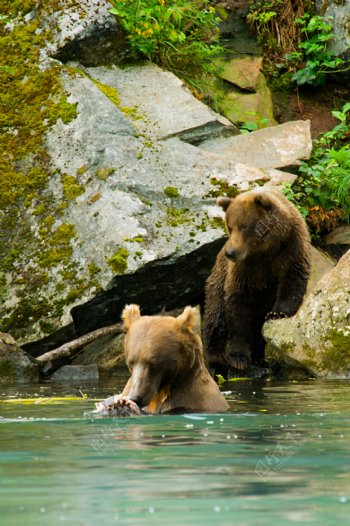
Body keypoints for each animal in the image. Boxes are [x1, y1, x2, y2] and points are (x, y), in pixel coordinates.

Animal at [202, 190, 312, 376]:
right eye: (229, 226)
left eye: (244, 226)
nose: (230, 252)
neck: (266, 250)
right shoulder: (245, 269)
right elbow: (238, 306)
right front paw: (238, 359)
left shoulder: (291, 248)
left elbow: (293, 280)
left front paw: (276, 313)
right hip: (218, 279)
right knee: (216, 313)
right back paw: (216, 355)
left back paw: (259, 358)